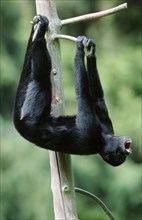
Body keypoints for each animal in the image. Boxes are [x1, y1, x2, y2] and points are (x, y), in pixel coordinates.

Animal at [13, 15, 131, 166]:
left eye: (121, 155)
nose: (127, 151)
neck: (101, 140)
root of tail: (19, 127)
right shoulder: (105, 126)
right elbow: (98, 98)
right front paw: (90, 52)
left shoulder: (89, 131)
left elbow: (83, 97)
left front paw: (79, 49)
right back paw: (36, 30)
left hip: (29, 117)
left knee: (41, 79)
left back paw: (39, 34)